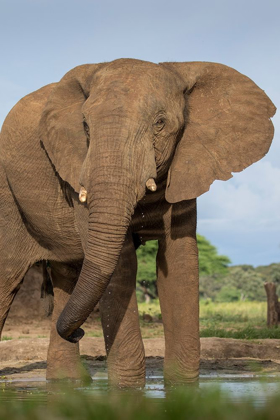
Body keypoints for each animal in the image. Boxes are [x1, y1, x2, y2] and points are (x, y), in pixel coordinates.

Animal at [0, 59, 276, 388]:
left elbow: (180, 262)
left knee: (67, 275)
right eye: (85, 126)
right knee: (6, 278)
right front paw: (127, 391)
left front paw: (183, 391)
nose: (78, 331)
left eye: (160, 123)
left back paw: (69, 384)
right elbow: (122, 265)